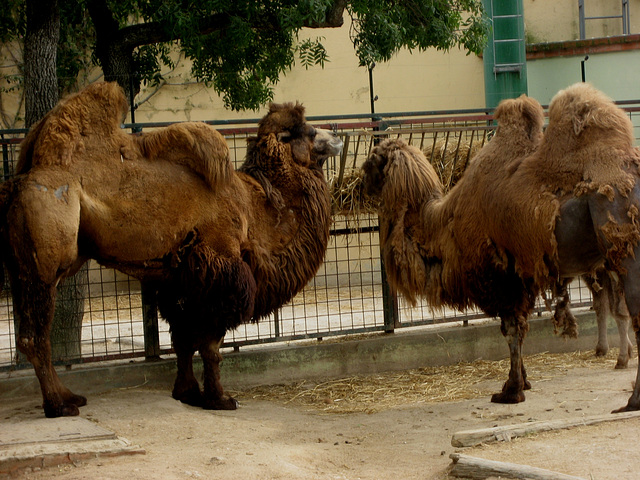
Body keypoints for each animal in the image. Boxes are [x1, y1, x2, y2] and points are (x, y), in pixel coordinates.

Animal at [0, 81, 342, 416]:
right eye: (309, 132)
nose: (337, 136)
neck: (258, 208)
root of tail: (21, 181)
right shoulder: (222, 269)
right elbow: (210, 345)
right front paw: (219, 398)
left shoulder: (180, 280)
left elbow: (182, 339)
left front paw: (187, 393)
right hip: (45, 263)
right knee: (36, 337)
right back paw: (59, 404)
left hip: (20, 268)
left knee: (27, 334)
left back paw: (68, 397)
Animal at [362, 82, 640, 412]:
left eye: (371, 163)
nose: (359, 185)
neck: (443, 225)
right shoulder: (520, 278)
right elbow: (520, 328)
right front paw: (522, 382)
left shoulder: (499, 279)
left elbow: (511, 331)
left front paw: (511, 391)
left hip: (624, 248)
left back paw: (632, 397)